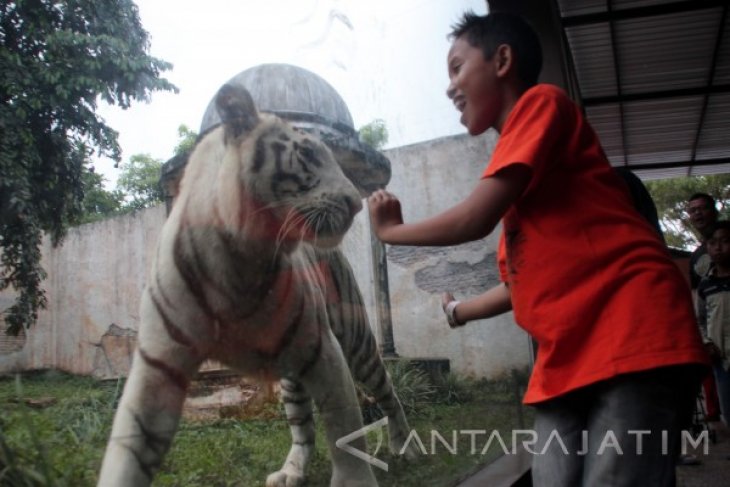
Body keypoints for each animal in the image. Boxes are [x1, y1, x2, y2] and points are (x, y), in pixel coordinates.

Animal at [97, 84, 416, 487]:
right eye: (308, 153)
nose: (355, 204)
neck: (238, 258)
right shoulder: (159, 365)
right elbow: (128, 452)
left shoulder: (323, 349)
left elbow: (344, 429)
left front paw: (356, 480)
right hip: (292, 377)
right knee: (302, 427)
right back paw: (291, 472)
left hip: (356, 342)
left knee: (387, 390)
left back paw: (403, 444)